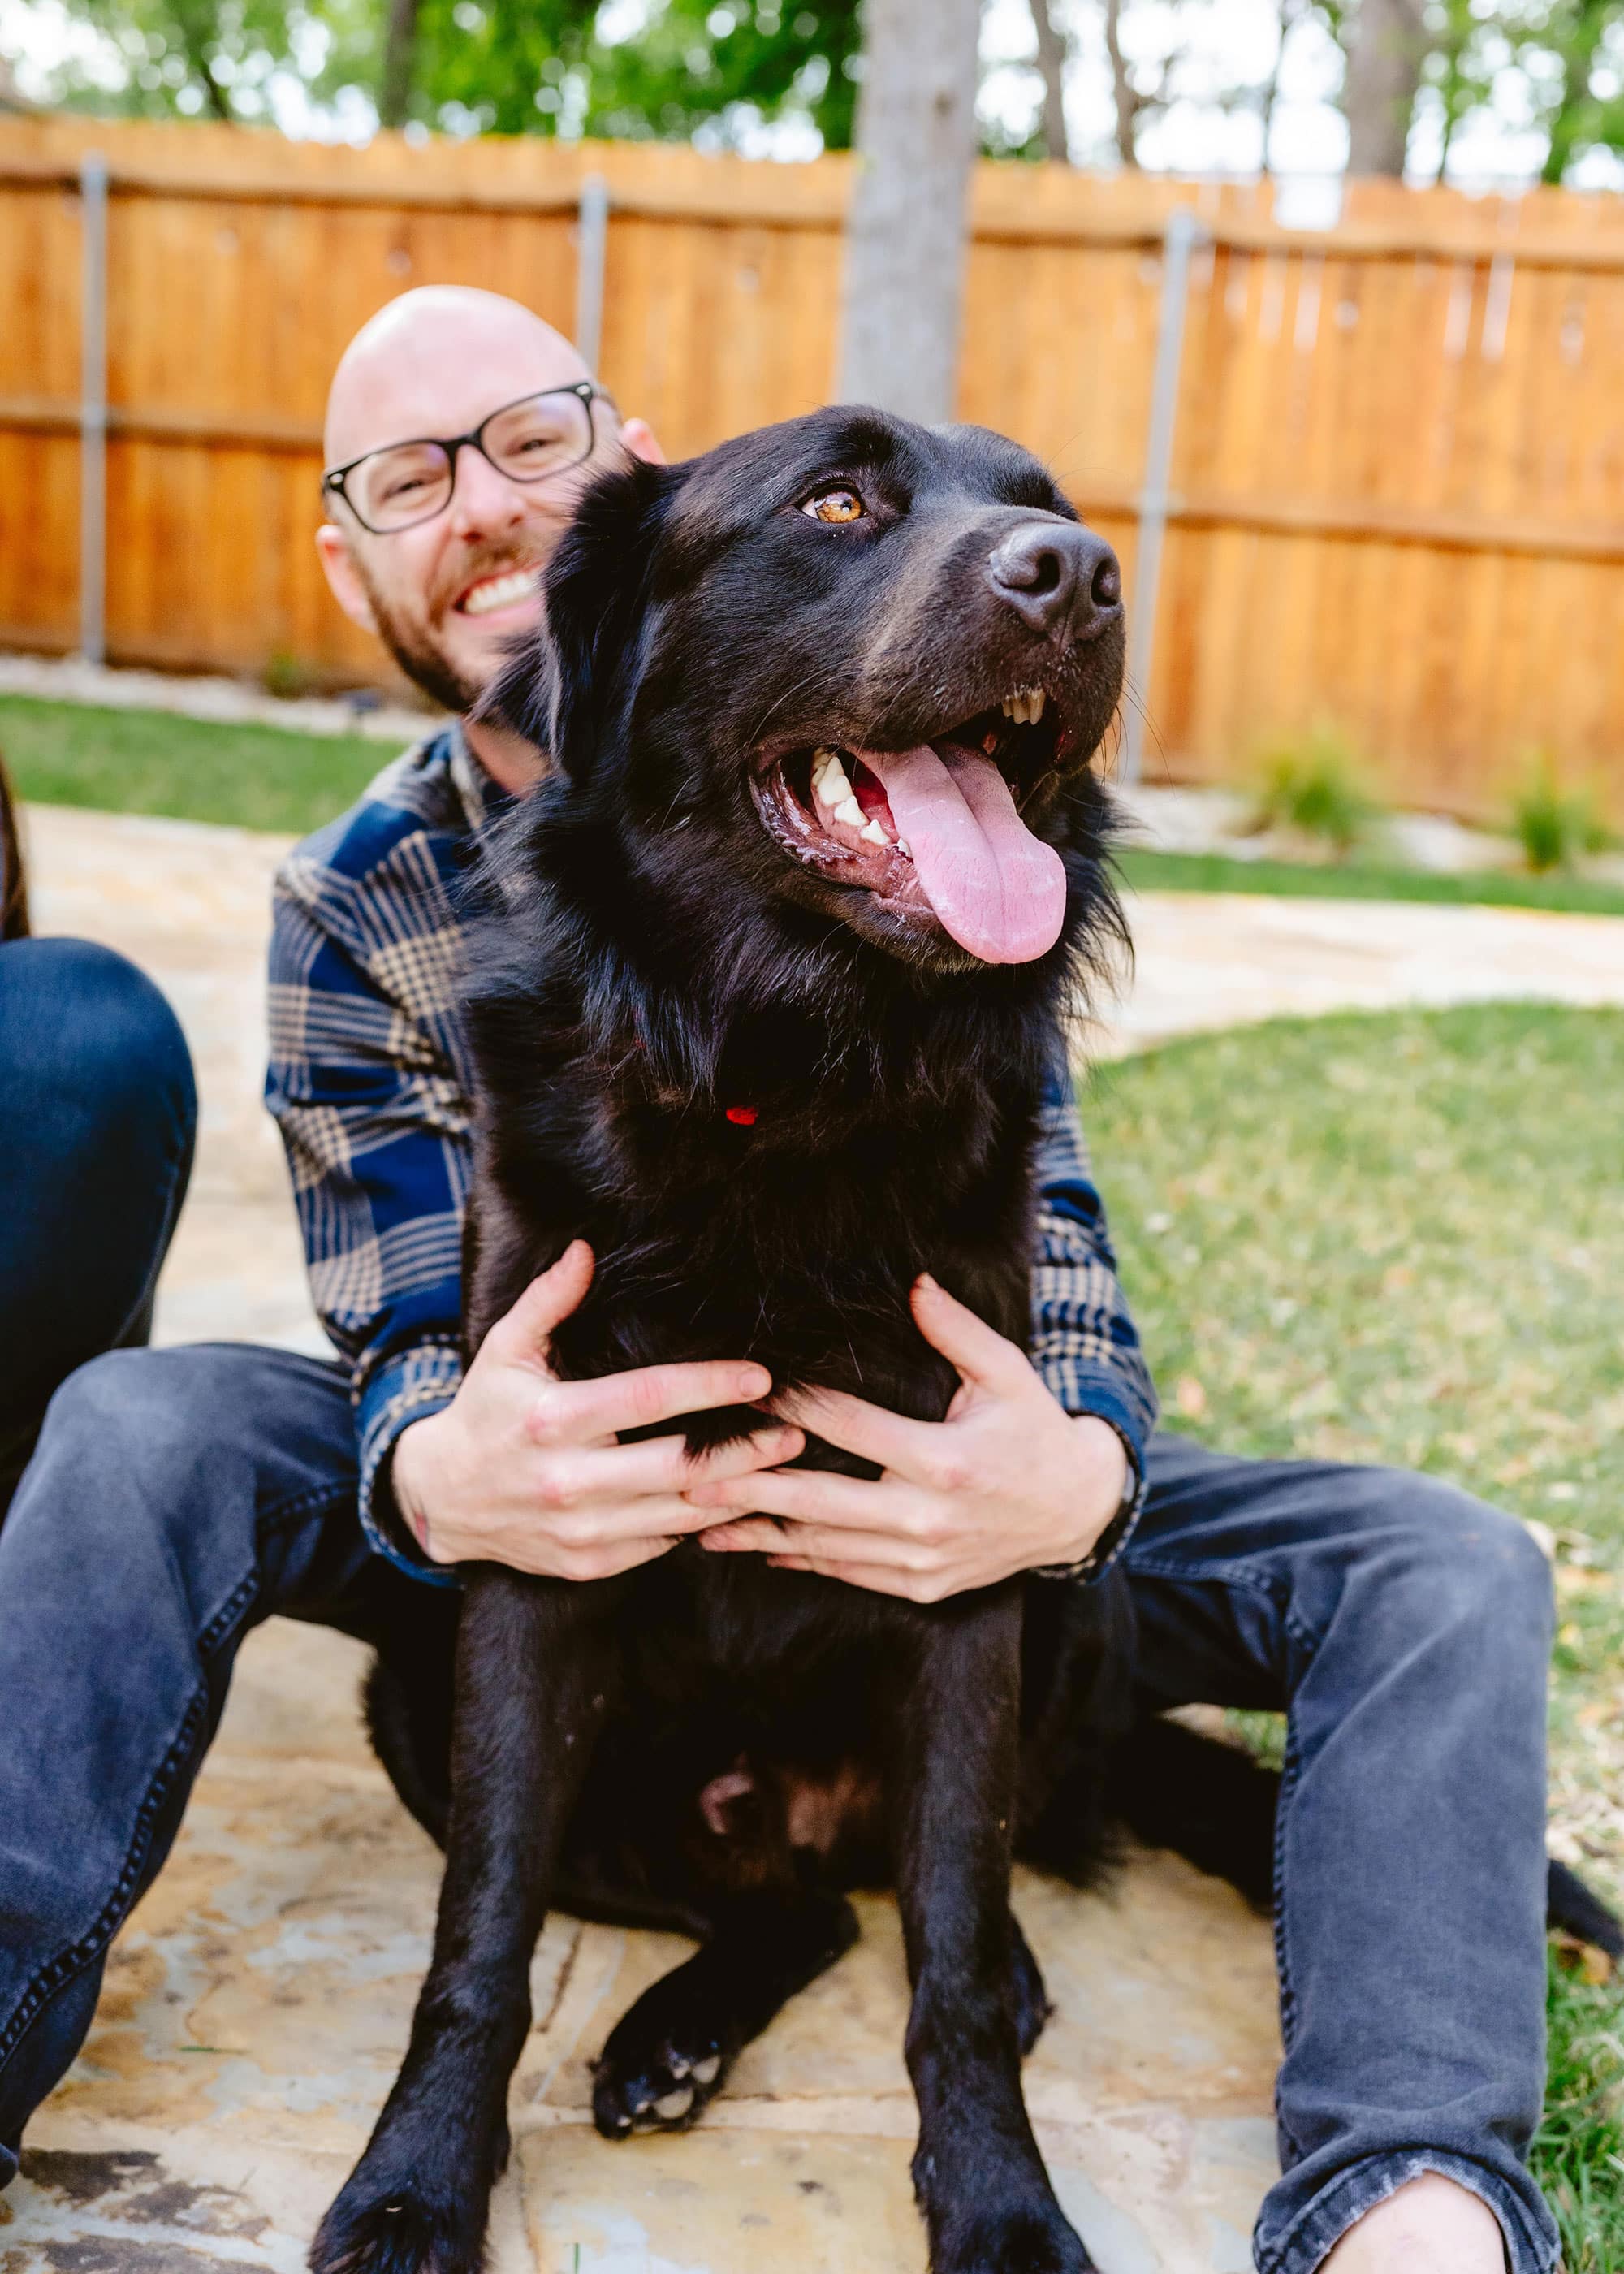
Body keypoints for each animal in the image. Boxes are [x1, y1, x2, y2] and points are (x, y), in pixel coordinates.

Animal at [309, 413, 1132, 2274]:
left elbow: (950, 1956)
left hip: (1067, 1592)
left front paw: (1001, 2200)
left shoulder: (969, 1541)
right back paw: (673, 2029)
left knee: (910, 1899)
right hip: (425, 1700)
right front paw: (412, 2180)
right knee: (791, 1914)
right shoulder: (528, 1535)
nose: (1081, 576)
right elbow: (476, 1942)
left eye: (1043, 509)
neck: (791, 1073)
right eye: (836, 500)